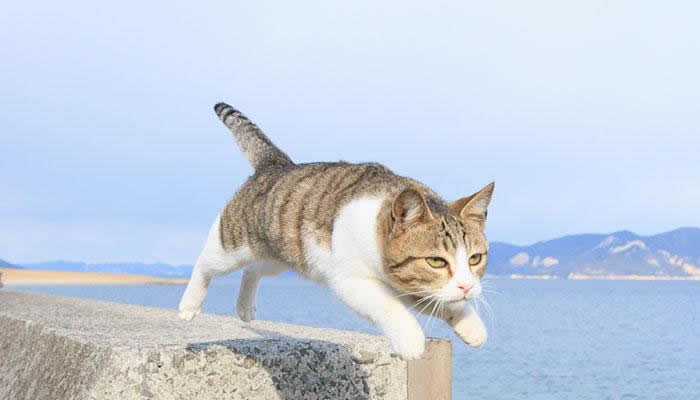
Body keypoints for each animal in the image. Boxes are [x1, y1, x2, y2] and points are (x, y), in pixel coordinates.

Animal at [178, 102, 494, 360]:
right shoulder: (349, 280)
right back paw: (189, 305)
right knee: (207, 262)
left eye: (475, 258)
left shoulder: (417, 286)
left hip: (280, 254)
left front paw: (470, 324)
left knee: (253, 270)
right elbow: (390, 306)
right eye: (436, 261)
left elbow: (443, 301)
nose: (468, 287)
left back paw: (245, 308)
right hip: (233, 244)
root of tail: (276, 164)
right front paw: (412, 339)